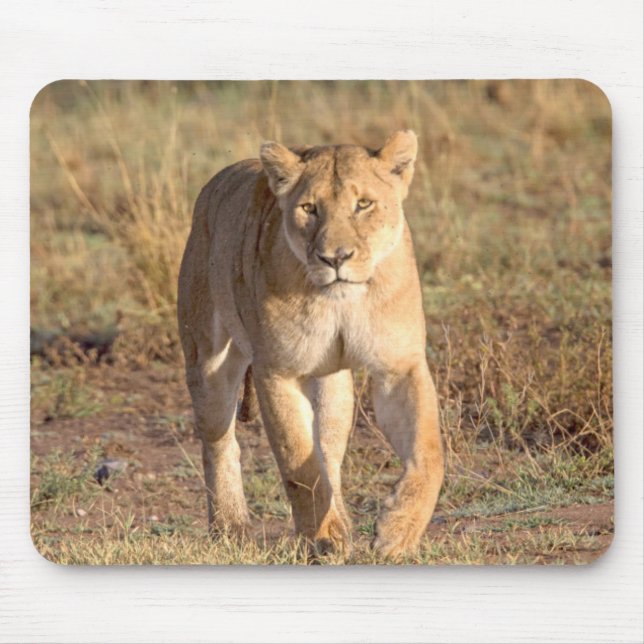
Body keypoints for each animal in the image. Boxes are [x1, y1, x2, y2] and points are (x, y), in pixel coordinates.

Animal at [177, 130, 444, 559]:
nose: (335, 258)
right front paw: (323, 538)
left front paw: (397, 533)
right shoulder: (277, 372)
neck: (342, 301)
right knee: (220, 442)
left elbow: (429, 451)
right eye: (309, 209)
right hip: (208, 364)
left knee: (328, 451)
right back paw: (231, 528)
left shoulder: (399, 366)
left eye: (363, 204)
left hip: (333, 383)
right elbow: (297, 463)